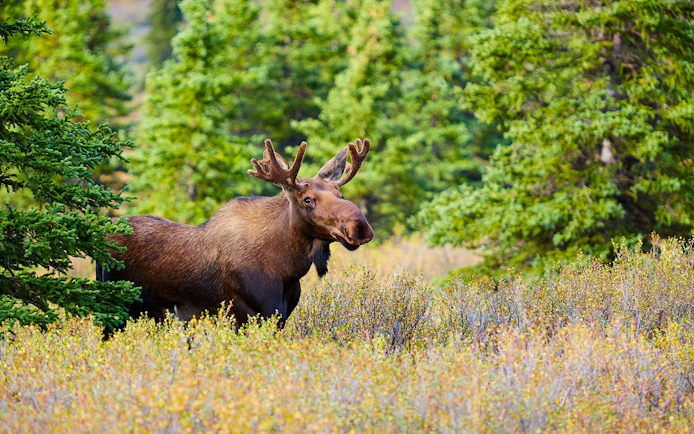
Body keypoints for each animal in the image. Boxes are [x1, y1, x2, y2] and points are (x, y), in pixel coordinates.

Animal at [98, 139, 374, 328]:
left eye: (340, 194)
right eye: (307, 199)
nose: (360, 227)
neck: (287, 268)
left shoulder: (280, 317)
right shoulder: (248, 315)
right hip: (114, 310)